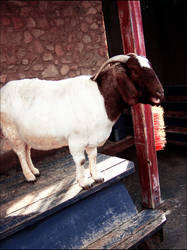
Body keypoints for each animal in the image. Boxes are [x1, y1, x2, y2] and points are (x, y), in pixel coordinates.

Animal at [0, 53, 164, 188]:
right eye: (135, 71)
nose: (160, 92)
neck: (100, 96)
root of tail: (3, 90)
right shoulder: (76, 140)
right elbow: (80, 161)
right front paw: (84, 183)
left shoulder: (92, 139)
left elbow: (93, 156)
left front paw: (97, 177)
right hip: (12, 132)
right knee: (20, 153)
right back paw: (30, 176)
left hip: (24, 133)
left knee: (26, 150)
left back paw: (34, 171)